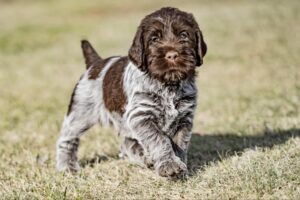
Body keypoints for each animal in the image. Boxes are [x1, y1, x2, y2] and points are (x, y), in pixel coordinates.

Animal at [56, 7, 206, 180]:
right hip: (80, 114)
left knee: (127, 143)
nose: (172, 55)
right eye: (154, 39)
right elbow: (160, 140)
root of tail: (96, 63)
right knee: (67, 140)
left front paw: (179, 168)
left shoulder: (184, 119)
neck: (169, 85)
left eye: (184, 35)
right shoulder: (141, 116)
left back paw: (143, 158)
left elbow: (180, 145)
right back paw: (67, 167)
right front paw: (169, 165)